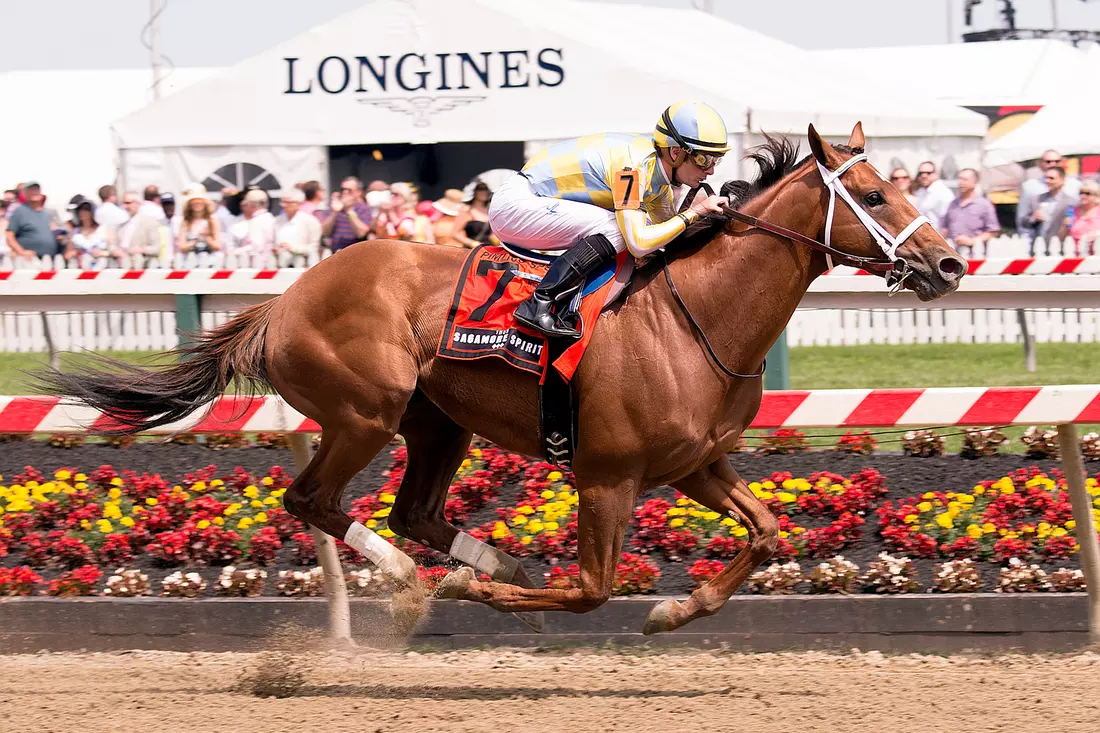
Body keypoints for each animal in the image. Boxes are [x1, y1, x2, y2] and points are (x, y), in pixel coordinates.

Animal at [40, 122, 963, 629]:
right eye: (875, 195)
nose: (950, 262)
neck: (692, 315)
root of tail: (288, 296)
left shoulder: (695, 461)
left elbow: (770, 530)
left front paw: (675, 606)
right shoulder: (607, 475)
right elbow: (590, 590)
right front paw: (476, 591)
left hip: (437, 420)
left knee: (412, 508)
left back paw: (489, 560)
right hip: (365, 411)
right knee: (313, 500)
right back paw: (421, 576)